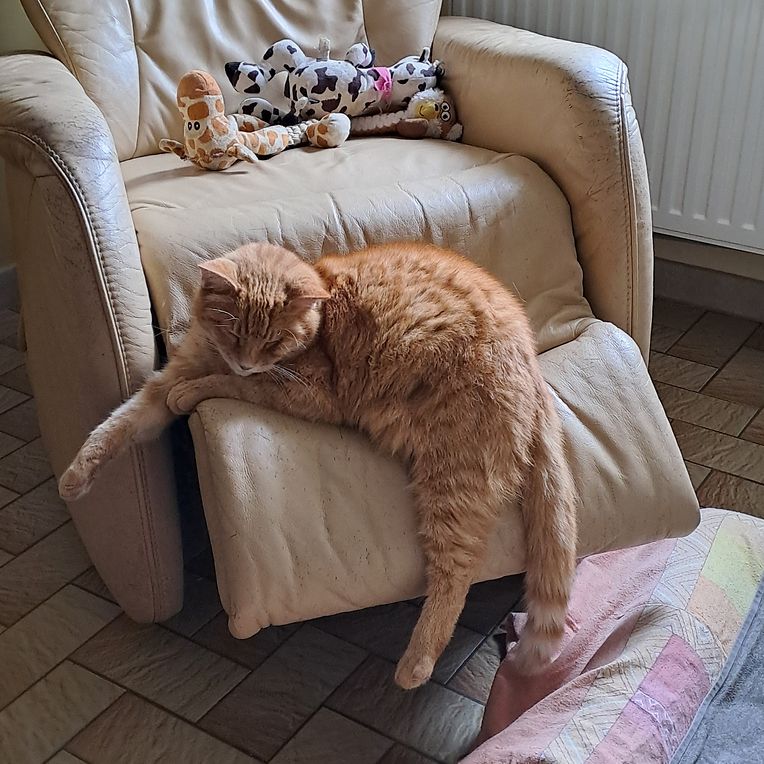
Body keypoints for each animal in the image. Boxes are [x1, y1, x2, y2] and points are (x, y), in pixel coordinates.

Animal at [59, 241, 578, 690]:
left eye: (273, 341)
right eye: (235, 332)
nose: (246, 360)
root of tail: (532, 362)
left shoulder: (309, 394)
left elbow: (232, 386)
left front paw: (197, 391)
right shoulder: (168, 380)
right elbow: (120, 422)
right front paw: (75, 476)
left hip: (451, 480)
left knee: (460, 570)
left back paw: (416, 664)